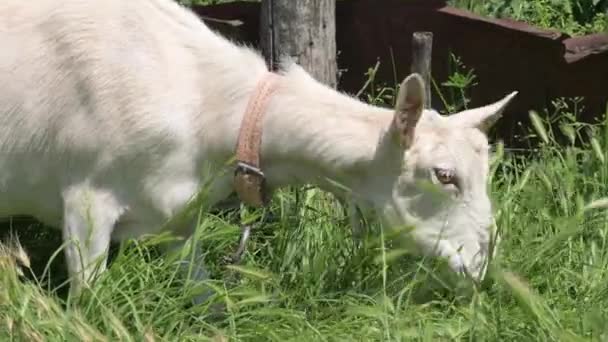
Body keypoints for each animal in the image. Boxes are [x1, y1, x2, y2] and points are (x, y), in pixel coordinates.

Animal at [0, 0, 516, 300]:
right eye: (444, 175)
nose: (482, 265)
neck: (205, 102)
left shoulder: (178, 216)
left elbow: (204, 298)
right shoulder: (87, 202)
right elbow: (89, 303)